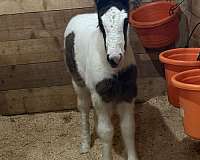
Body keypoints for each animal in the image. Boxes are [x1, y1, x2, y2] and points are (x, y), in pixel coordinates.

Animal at [64, 0, 139, 160]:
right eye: (100, 23)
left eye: (126, 21)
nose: (115, 58)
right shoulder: (99, 94)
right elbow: (106, 132)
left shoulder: (128, 93)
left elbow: (128, 128)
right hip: (78, 83)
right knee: (84, 108)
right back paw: (85, 144)